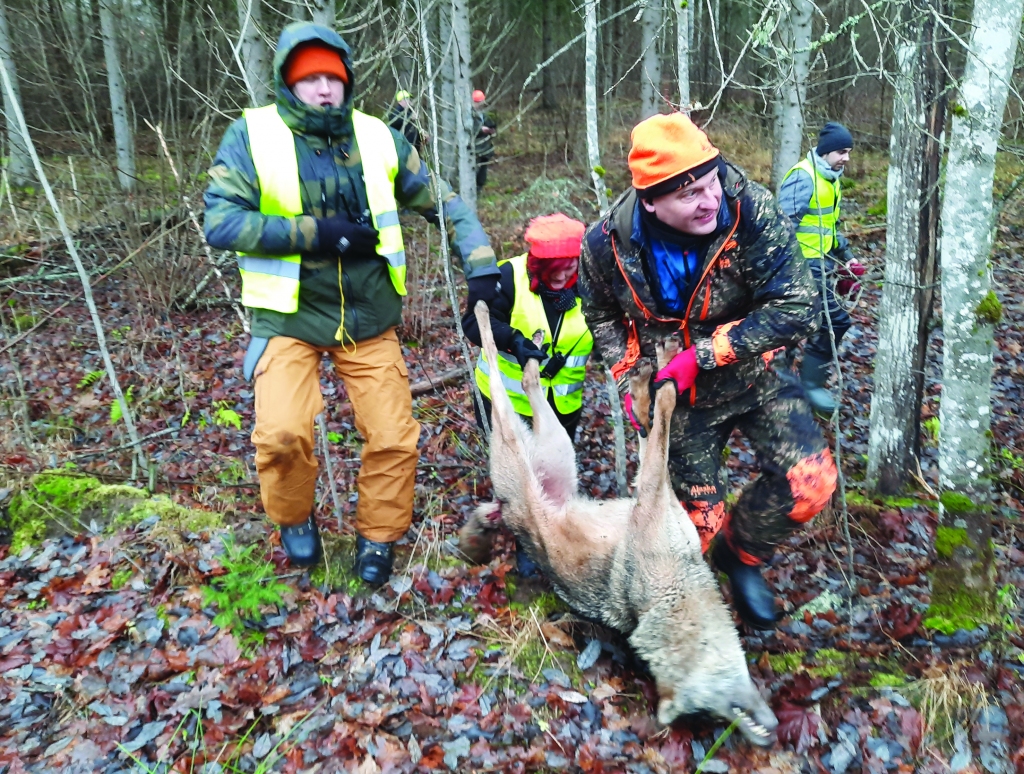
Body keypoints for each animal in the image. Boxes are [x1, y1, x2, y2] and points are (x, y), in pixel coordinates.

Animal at [458, 301, 774, 745]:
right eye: (715, 713)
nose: (767, 735)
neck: (674, 593)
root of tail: (508, 506)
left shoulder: (657, 495)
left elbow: (647, 424)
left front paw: (652, 377)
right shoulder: (653, 494)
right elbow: (662, 417)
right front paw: (667, 369)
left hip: (556, 444)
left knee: (530, 378)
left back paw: (532, 345)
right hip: (509, 436)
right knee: (496, 367)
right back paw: (488, 316)